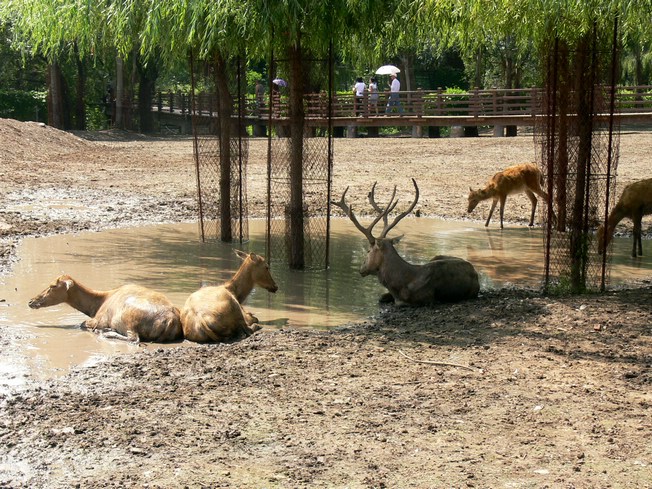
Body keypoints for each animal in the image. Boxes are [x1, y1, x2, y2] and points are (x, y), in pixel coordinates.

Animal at [28, 275, 183, 343]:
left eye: (52, 286)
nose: (31, 301)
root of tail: (171, 320)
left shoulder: (99, 319)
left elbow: (82, 323)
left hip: (128, 319)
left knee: (134, 338)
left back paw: (107, 332)